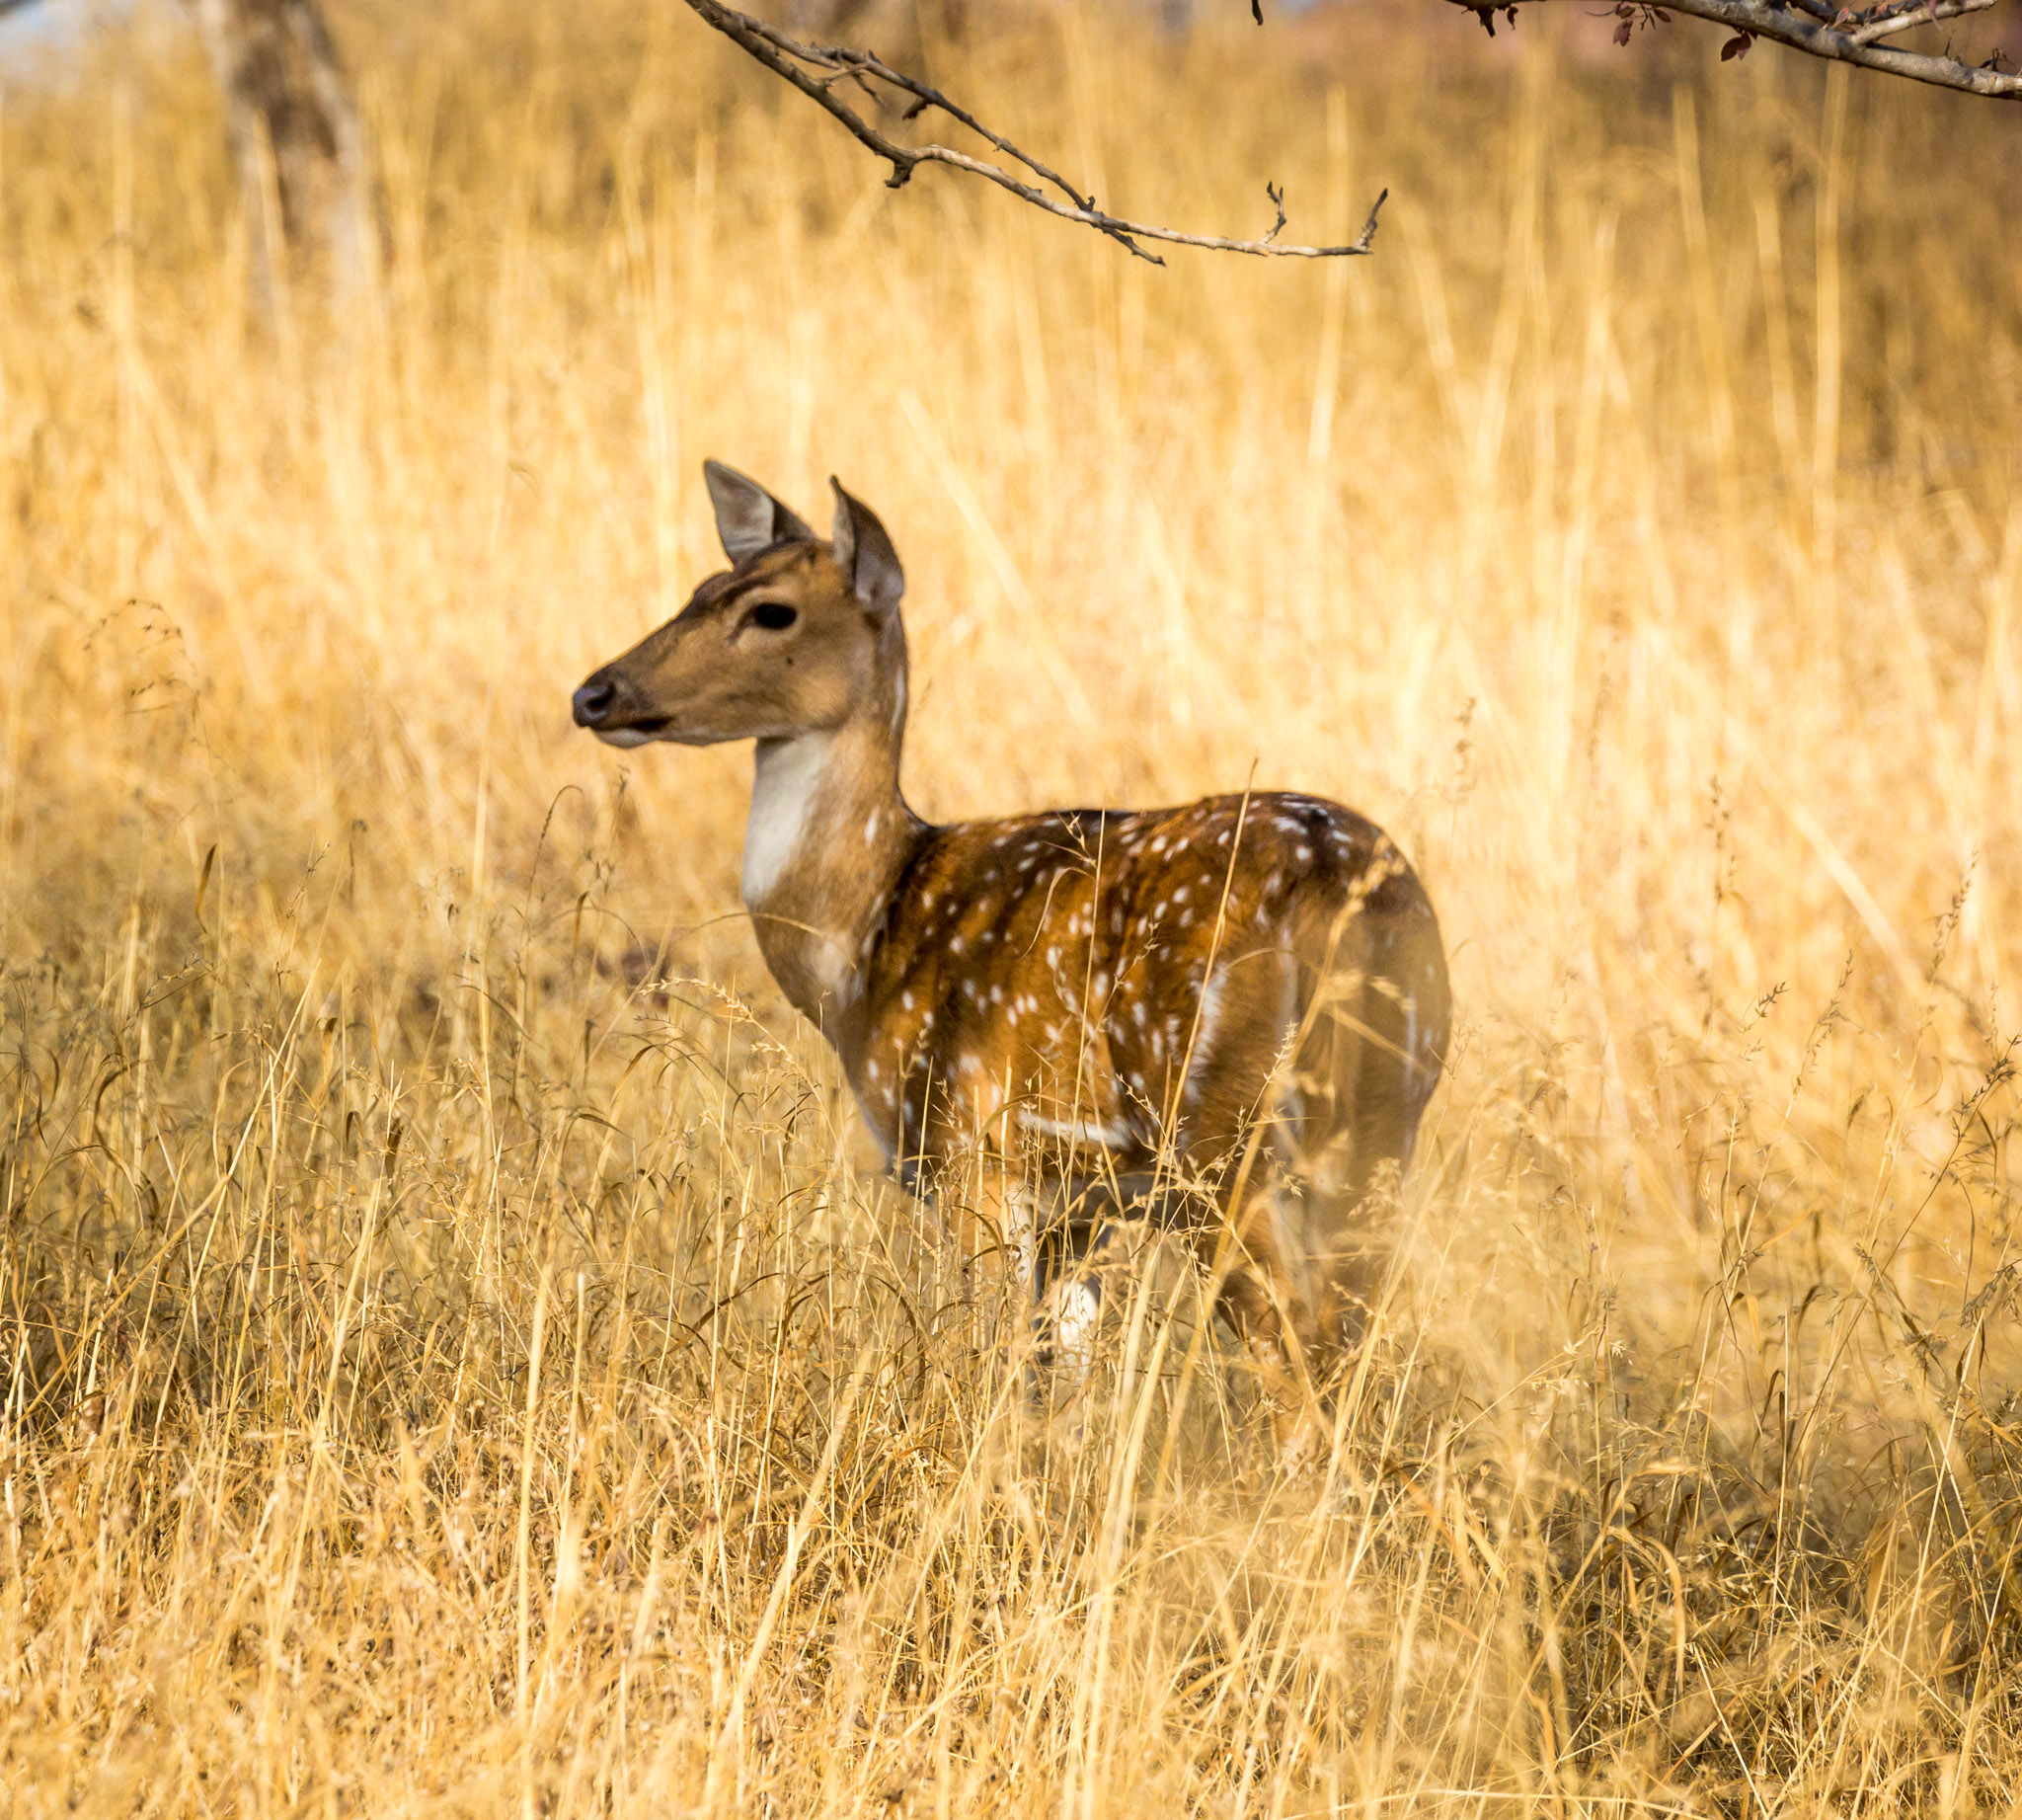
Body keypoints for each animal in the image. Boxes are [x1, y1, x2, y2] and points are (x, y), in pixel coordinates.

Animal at [574, 462, 1455, 1456]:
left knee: (1296, 1372)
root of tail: (1345, 894)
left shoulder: (969, 1148)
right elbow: (1058, 1389)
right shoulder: (1083, 1203)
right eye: (700, 588)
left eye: (770, 610)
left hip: (1222, 1136)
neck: (865, 937)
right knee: (1342, 1349)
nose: (596, 694)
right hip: (1381, 1130)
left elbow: (988, 1358)